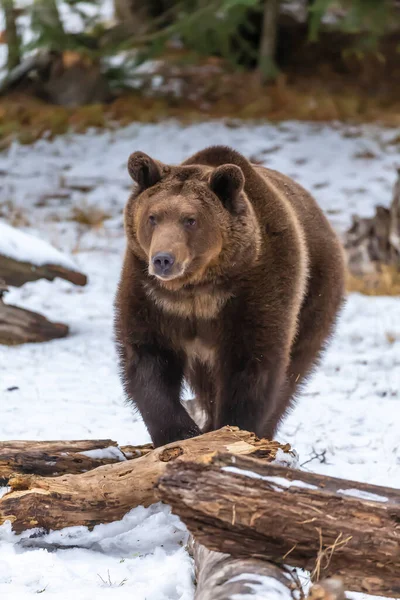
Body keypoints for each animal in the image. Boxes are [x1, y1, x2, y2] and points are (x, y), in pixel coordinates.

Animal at [114, 144, 346, 446]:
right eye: (152, 217)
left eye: (191, 220)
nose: (163, 260)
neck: (196, 289)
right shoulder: (151, 295)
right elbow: (148, 359)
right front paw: (182, 433)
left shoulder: (256, 291)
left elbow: (252, 366)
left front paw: (231, 430)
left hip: (317, 292)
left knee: (294, 370)